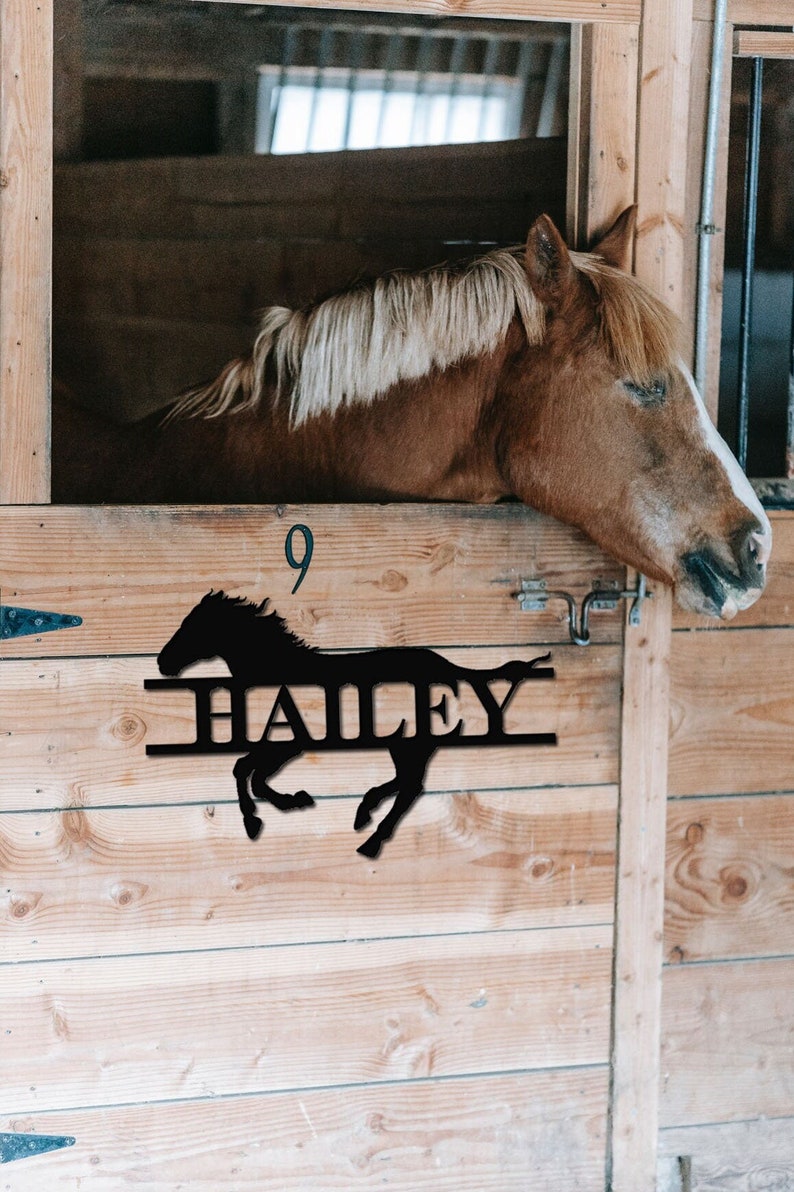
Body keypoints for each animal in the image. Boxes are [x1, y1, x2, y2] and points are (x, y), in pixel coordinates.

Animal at [154, 590, 556, 858]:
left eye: (193, 627)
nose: (162, 661)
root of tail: (447, 667)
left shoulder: (288, 743)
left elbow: (247, 772)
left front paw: (265, 816)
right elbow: (250, 774)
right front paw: (288, 805)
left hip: (409, 743)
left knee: (410, 787)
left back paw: (370, 838)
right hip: (406, 744)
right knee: (407, 784)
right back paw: (364, 815)